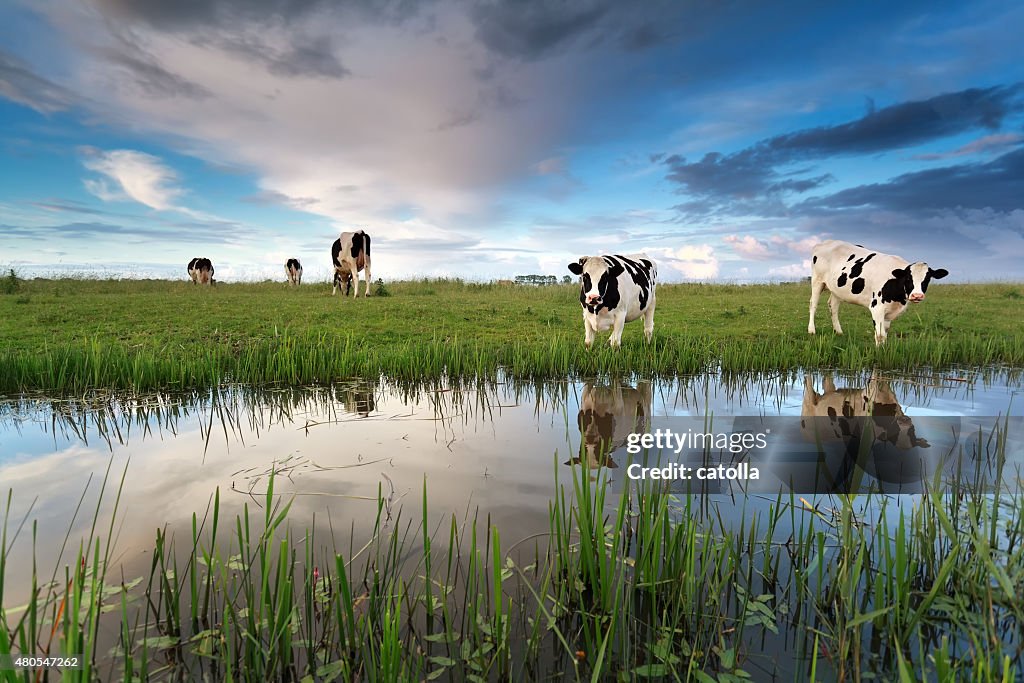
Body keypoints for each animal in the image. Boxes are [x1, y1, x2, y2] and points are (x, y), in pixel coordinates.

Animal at [806, 240, 950, 348]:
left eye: (927, 278)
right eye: (908, 278)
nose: (917, 296)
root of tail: (826, 242)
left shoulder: (889, 312)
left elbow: (884, 334)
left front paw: (884, 351)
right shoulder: (877, 307)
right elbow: (879, 335)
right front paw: (878, 353)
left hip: (837, 289)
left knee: (833, 306)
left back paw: (839, 332)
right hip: (817, 281)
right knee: (813, 305)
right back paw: (811, 330)